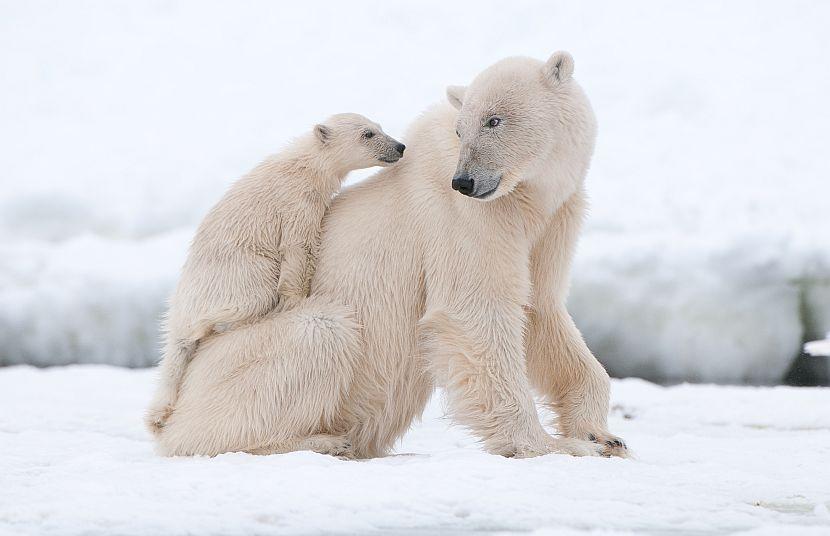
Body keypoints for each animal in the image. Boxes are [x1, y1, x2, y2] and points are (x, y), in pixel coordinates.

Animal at [156, 52, 628, 458]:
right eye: (462, 129)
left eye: (494, 120)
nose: (465, 181)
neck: (526, 197)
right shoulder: (464, 219)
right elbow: (475, 312)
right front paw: (553, 445)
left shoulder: (552, 220)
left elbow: (541, 310)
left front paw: (602, 435)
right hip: (240, 359)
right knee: (320, 332)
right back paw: (322, 440)